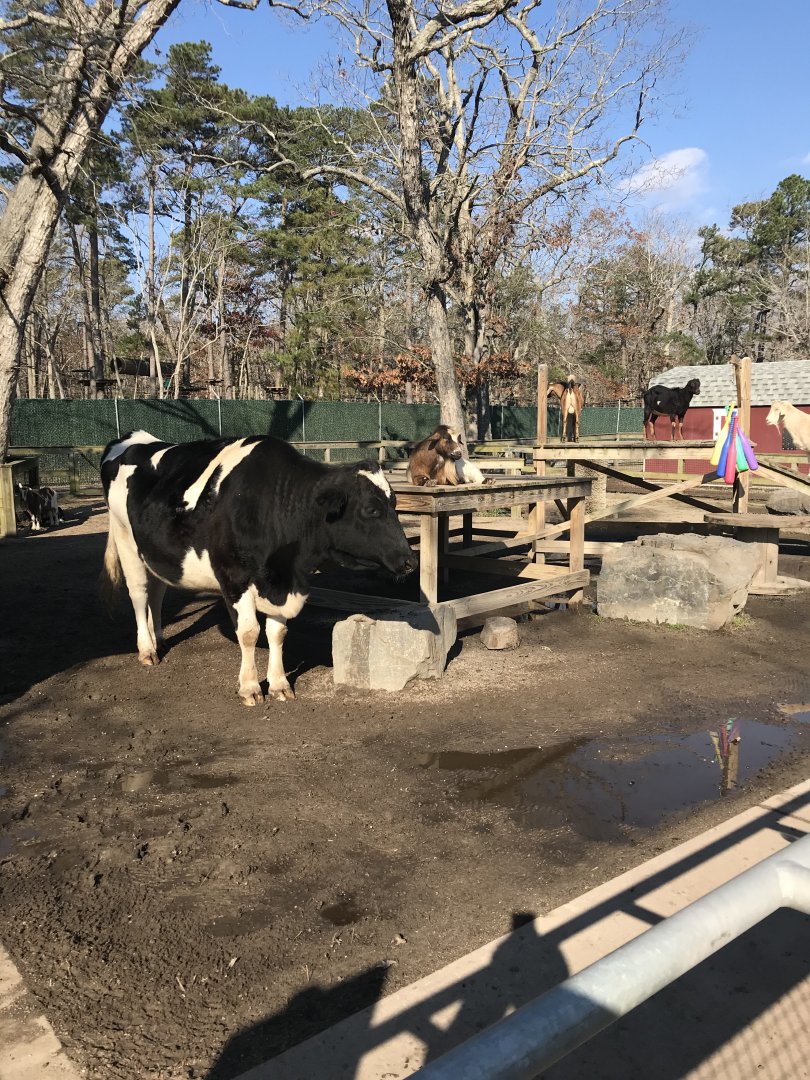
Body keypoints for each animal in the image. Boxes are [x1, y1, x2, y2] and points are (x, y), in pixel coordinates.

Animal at [100, 431, 417, 706]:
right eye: (371, 510)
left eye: (394, 504)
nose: (409, 561)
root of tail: (132, 438)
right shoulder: (234, 577)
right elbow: (249, 632)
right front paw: (250, 687)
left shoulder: (281, 582)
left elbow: (277, 632)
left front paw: (279, 684)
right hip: (126, 540)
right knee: (139, 594)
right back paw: (147, 649)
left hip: (156, 553)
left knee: (157, 592)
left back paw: (161, 639)